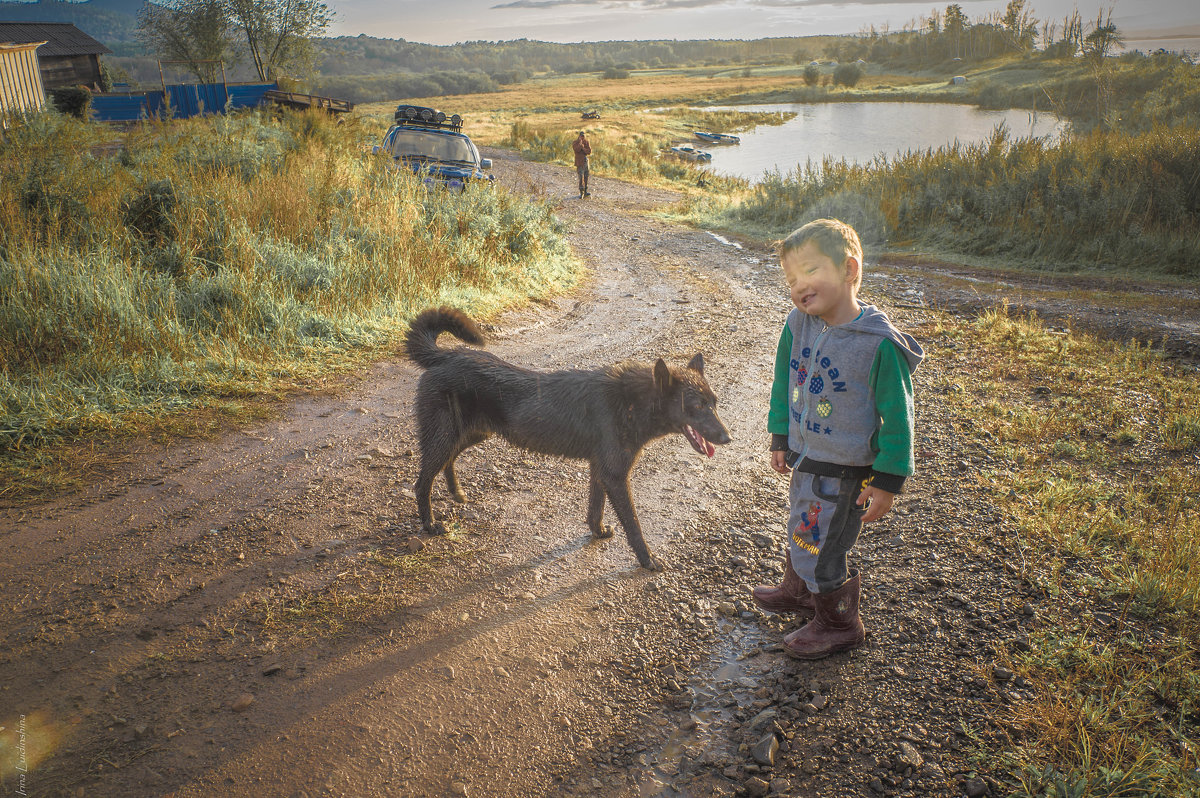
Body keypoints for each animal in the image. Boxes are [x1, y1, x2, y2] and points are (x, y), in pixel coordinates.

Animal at [405, 303, 729, 566]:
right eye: (696, 406)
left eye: (714, 403)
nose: (728, 438)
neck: (632, 402)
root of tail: (444, 356)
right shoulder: (615, 476)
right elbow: (634, 525)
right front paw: (647, 559)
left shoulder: (600, 470)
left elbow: (595, 509)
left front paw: (598, 532)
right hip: (446, 437)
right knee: (422, 482)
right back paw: (430, 525)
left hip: (471, 434)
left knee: (448, 461)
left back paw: (456, 492)